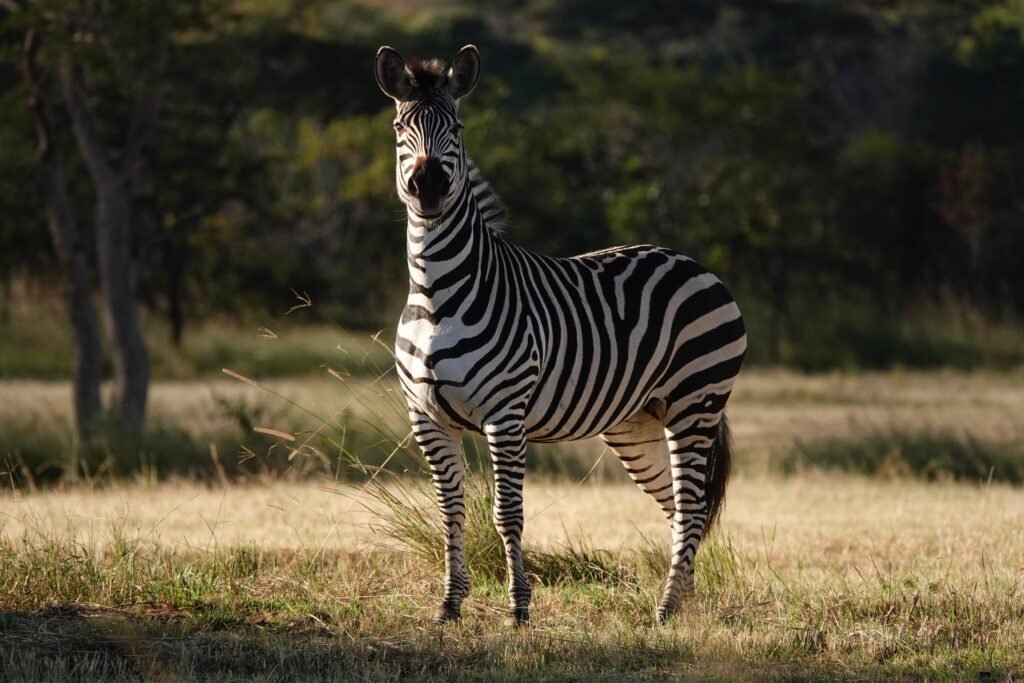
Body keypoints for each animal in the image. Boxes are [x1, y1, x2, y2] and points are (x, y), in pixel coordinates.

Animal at [375, 44, 747, 626]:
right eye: (398, 127)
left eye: (456, 127)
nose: (429, 187)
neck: (437, 295)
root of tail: (691, 261)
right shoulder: (427, 417)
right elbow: (450, 511)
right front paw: (449, 606)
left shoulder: (505, 414)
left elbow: (507, 514)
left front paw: (519, 610)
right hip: (638, 420)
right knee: (682, 506)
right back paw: (681, 603)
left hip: (697, 401)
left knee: (691, 505)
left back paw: (664, 611)